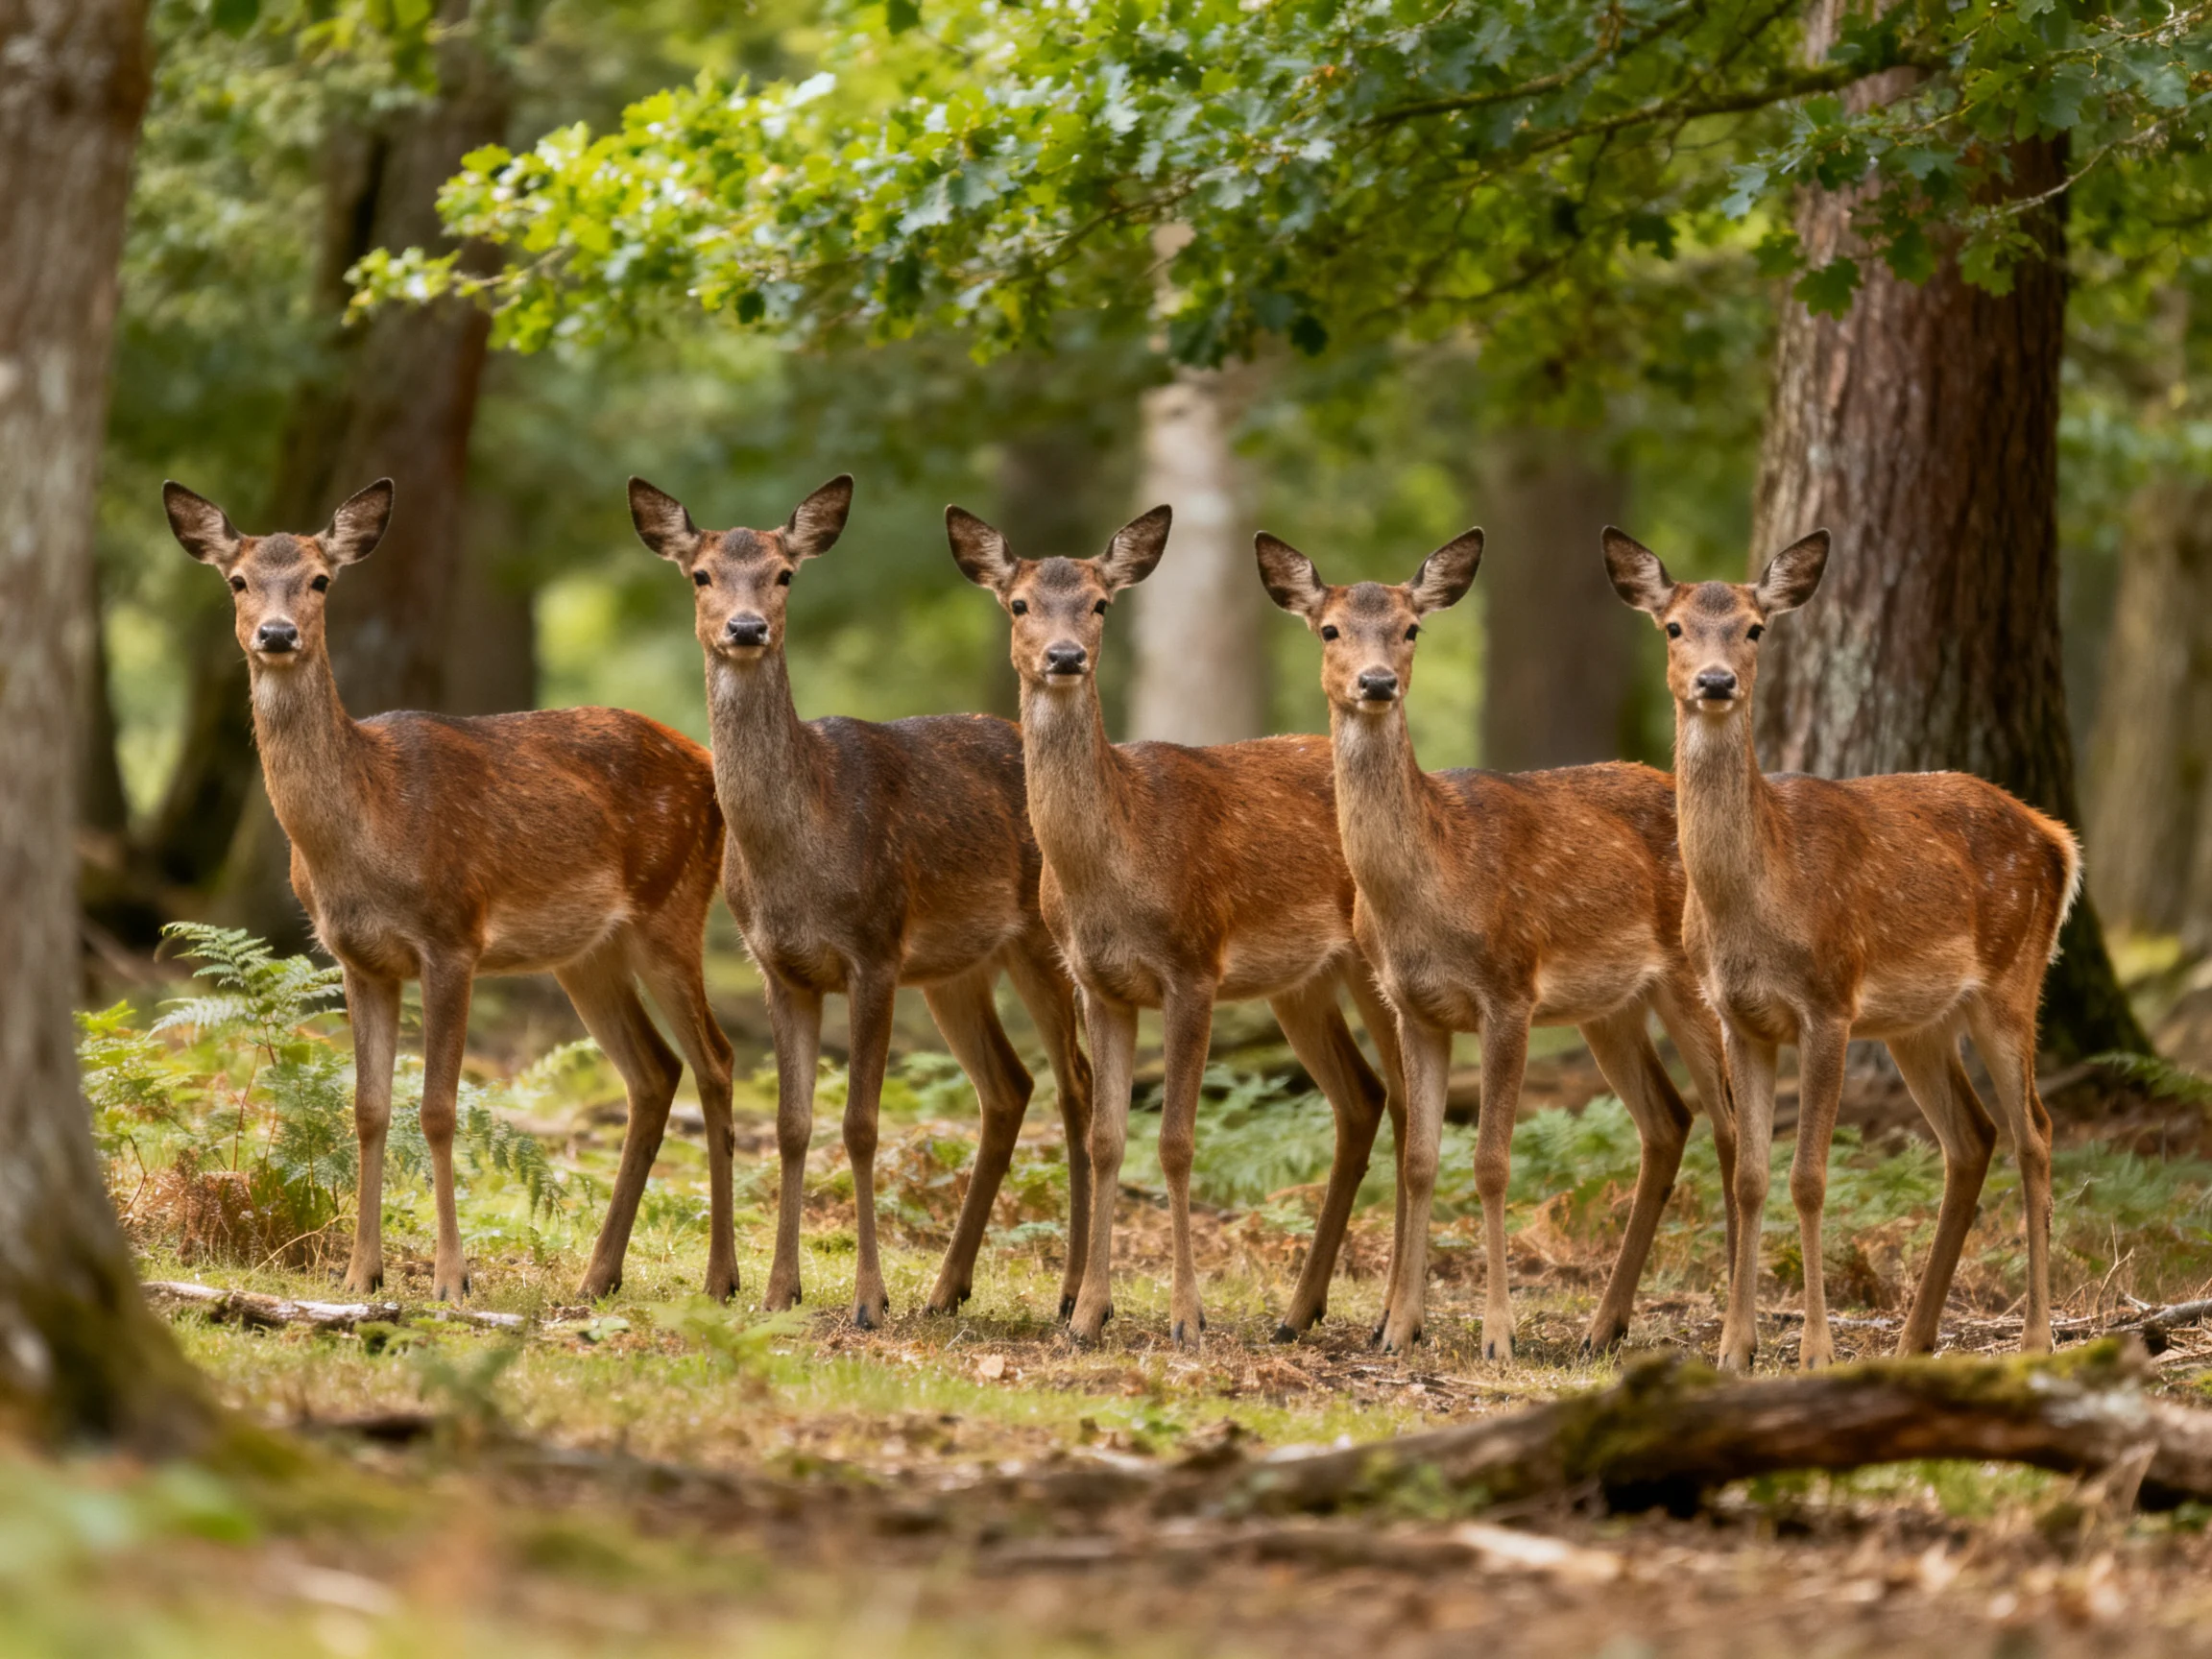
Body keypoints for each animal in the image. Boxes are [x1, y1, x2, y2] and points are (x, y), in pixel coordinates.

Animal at [163, 478, 738, 1305]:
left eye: (320, 580)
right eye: (237, 581)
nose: (275, 634)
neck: (367, 830)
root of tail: (707, 763)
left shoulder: (453, 936)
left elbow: (437, 1109)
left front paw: (451, 1278)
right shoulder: (358, 959)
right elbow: (368, 1108)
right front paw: (359, 1272)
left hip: (675, 905)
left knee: (716, 1061)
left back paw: (722, 1278)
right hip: (587, 954)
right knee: (656, 1072)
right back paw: (598, 1275)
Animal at [628, 476, 1095, 1329]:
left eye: (784, 574)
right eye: (701, 574)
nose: (746, 629)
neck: (801, 848)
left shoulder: (874, 950)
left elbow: (862, 1124)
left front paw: (868, 1299)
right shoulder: (781, 965)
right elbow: (792, 1124)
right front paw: (780, 1289)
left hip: (1043, 943)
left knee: (1075, 1086)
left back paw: (1072, 1291)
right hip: (954, 969)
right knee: (1010, 1086)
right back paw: (948, 1288)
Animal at [946, 504, 1410, 1352]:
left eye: (1101, 604)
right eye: (1019, 603)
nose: (1065, 657)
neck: (1119, 866)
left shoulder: (1193, 967)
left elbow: (1176, 1139)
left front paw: (1186, 1317)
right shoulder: (1098, 982)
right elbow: (1106, 1138)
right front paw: (1088, 1314)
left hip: (1375, 965)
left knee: (1404, 1101)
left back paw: (1392, 1319)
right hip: (1302, 983)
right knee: (1361, 1098)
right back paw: (1299, 1312)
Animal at [1254, 531, 1740, 1359]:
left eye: (1412, 628)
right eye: (1330, 630)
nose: (1377, 682)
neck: (1434, 887)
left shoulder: (1508, 991)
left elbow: (1489, 1163)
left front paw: (1497, 1336)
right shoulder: (1415, 1005)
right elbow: (1421, 1161)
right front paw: (1399, 1331)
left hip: (1691, 982)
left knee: (1734, 1128)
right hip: (1609, 1006)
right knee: (1670, 1121)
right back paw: (1601, 1328)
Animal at [1605, 526, 2079, 1368]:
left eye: (1755, 628)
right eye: (1674, 627)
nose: (1717, 682)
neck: (1757, 900)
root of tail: (2056, 838)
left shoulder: (1827, 1003)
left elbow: (1810, 1177)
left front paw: (1816, 1349)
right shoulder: (1740, 1017)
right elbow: (1751, 1176)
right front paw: (1735, 1348)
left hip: (2011, 982)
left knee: (2036, 1134)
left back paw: (2034, 1336)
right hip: (1918, 1024)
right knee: (1973, 1138)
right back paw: (1916, 1338)